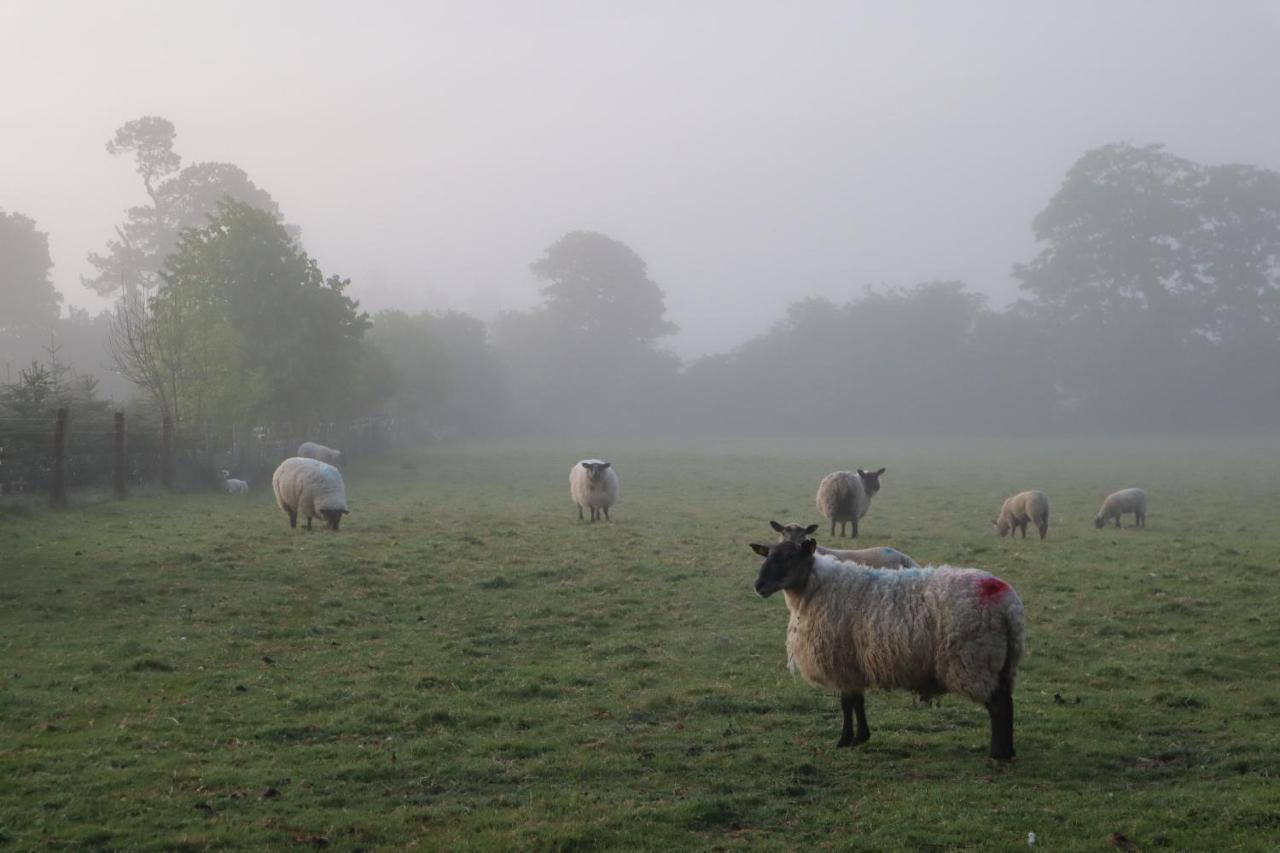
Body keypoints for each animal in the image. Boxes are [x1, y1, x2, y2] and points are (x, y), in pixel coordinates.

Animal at [747, 537, 1029, 758]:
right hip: (1003, 664)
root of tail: (1008, 604)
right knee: (1007, 702)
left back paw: (998, 753)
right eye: (768, 556)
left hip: (975, 660)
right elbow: (857, 701)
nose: (758, 586)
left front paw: (845, 739)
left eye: (790, 556)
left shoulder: (842, 661)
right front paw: (860, 736)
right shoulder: (853, 663)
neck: (817, 587)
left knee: (998, 705)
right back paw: (1009, 749)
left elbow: (846, 703)